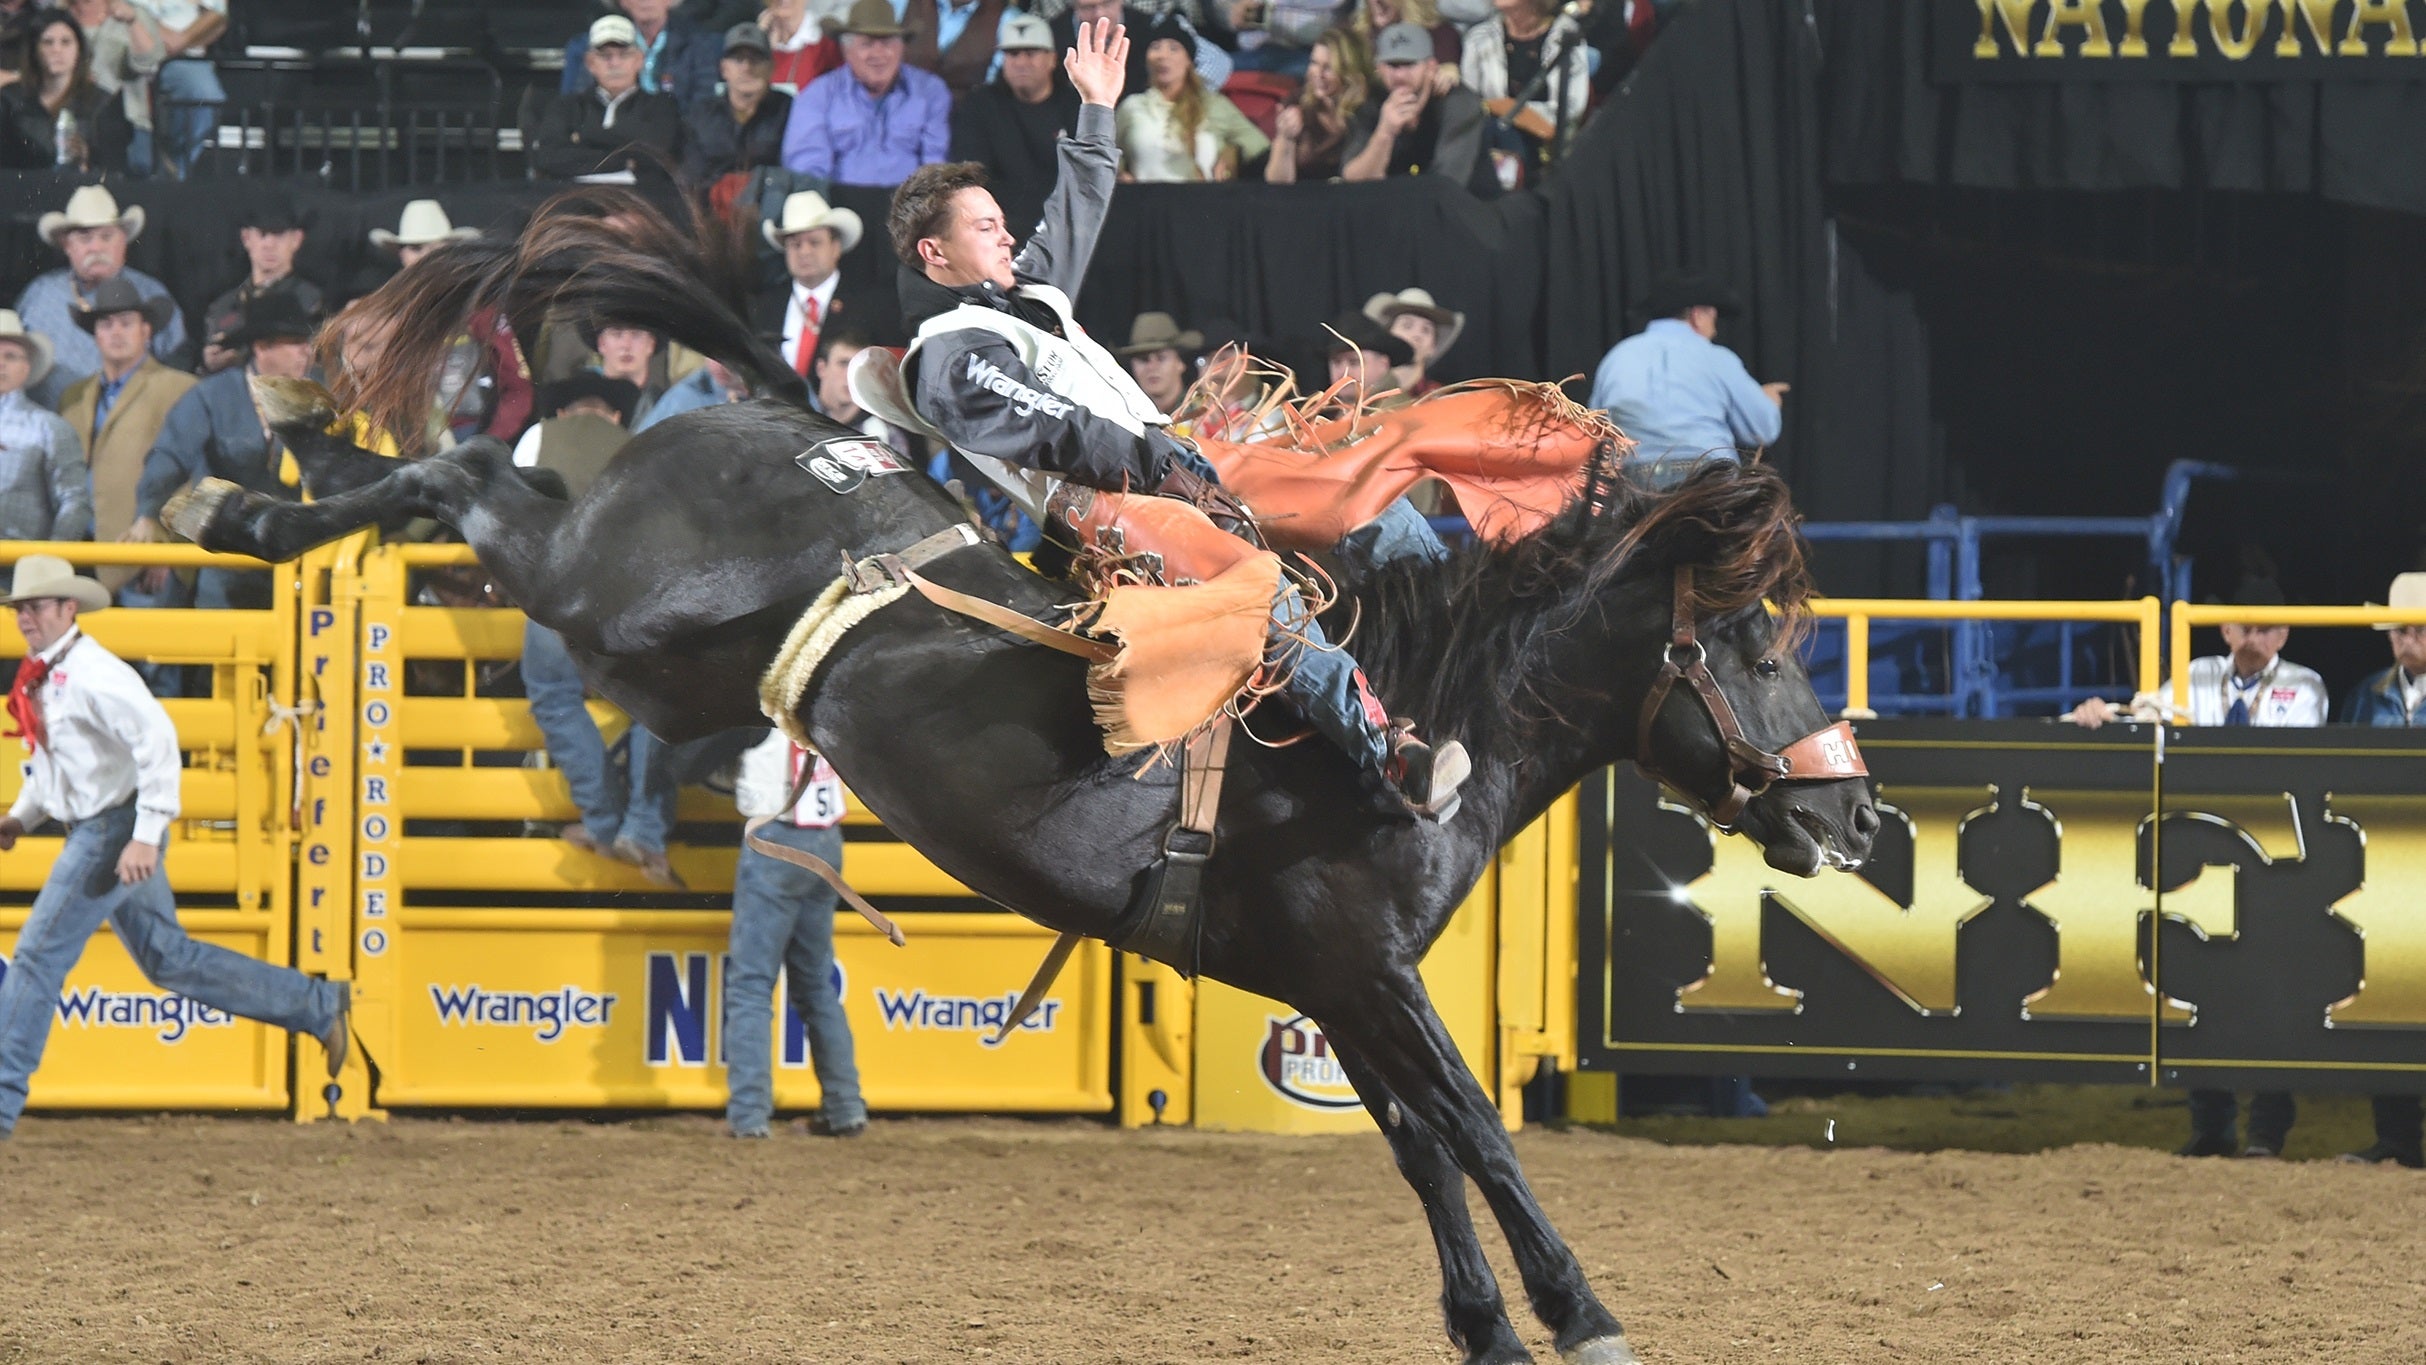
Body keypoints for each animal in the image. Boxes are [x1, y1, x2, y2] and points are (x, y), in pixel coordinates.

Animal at [166, 202, 1872, 1365]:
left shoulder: (1334, 978)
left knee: (490, 475)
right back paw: (249, 506)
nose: (1851, 813)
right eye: (1750, 644)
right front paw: (1578, 1313)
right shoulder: (1363, 964)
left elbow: (1420, 1142)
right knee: (466, 475)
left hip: (645, 655)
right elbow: (1472, 1124)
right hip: (602, 596)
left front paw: (1490, 1326)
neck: (1429, 716)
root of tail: (778, 412)